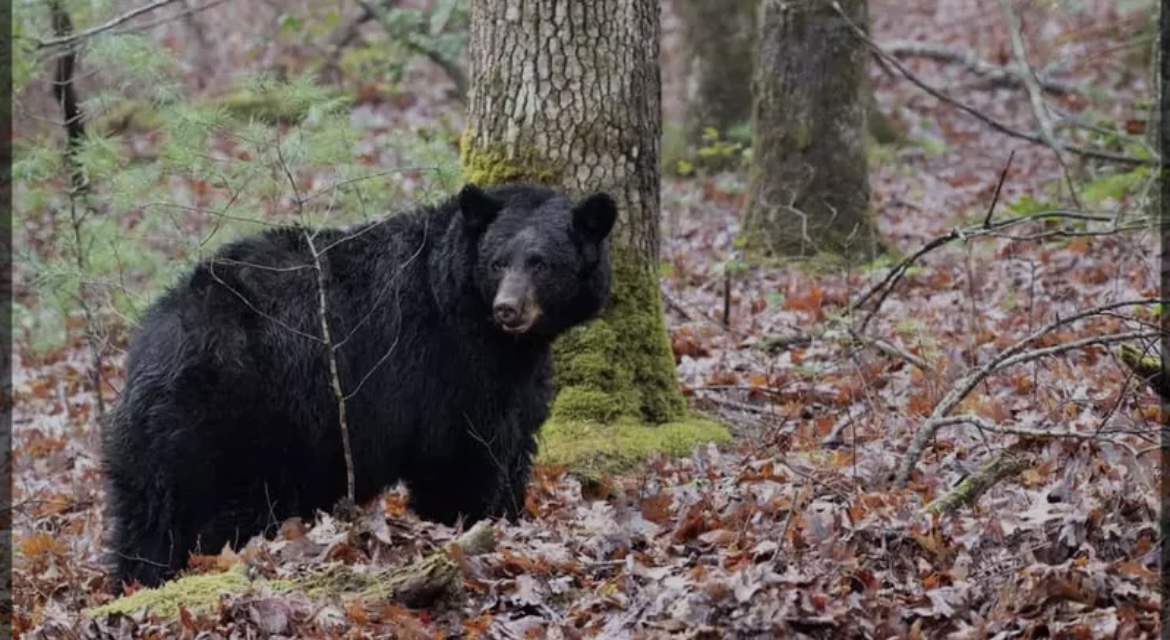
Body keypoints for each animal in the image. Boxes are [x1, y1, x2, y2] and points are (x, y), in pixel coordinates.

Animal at [100, 181, 617, 591]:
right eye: (496, 262)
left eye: (542, 264)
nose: (509, 309)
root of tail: (154, 346)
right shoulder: (448, 368)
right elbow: (464, 456)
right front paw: (468, 522)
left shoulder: (515, 374)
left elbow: (515, 438)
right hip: (238, 425)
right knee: (219, 516)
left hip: (157, 446)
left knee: (146, 521)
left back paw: (138, 580)